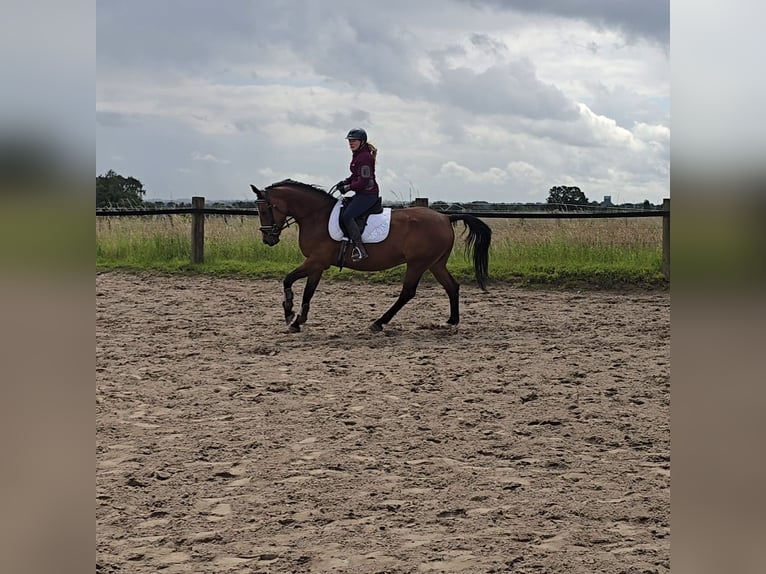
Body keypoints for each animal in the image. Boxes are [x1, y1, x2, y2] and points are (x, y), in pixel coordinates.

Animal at [252, 179, 492, 332]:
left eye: (265, 210)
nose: (268, 239)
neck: (316, 216)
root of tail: (444, 217)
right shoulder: (317, 264)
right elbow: (308, 292)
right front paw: (298, 320)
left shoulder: (316, 261)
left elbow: (288, 279)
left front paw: (289, 313)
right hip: (436, 263)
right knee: (452, 286)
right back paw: (451, 321)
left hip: (418, 263)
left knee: (408, 292)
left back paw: (379, 323)